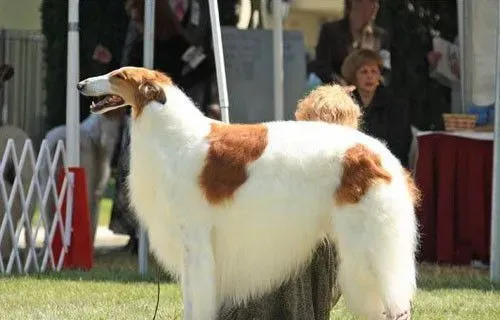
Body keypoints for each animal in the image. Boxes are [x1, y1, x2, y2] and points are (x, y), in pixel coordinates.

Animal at [78, 67, 420, 320]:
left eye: (118, 75)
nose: (80, 84)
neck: (175, 137)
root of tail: (381, 155)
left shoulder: (196, 244)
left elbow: (198, 303)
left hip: (372, 247)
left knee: (397, 307)